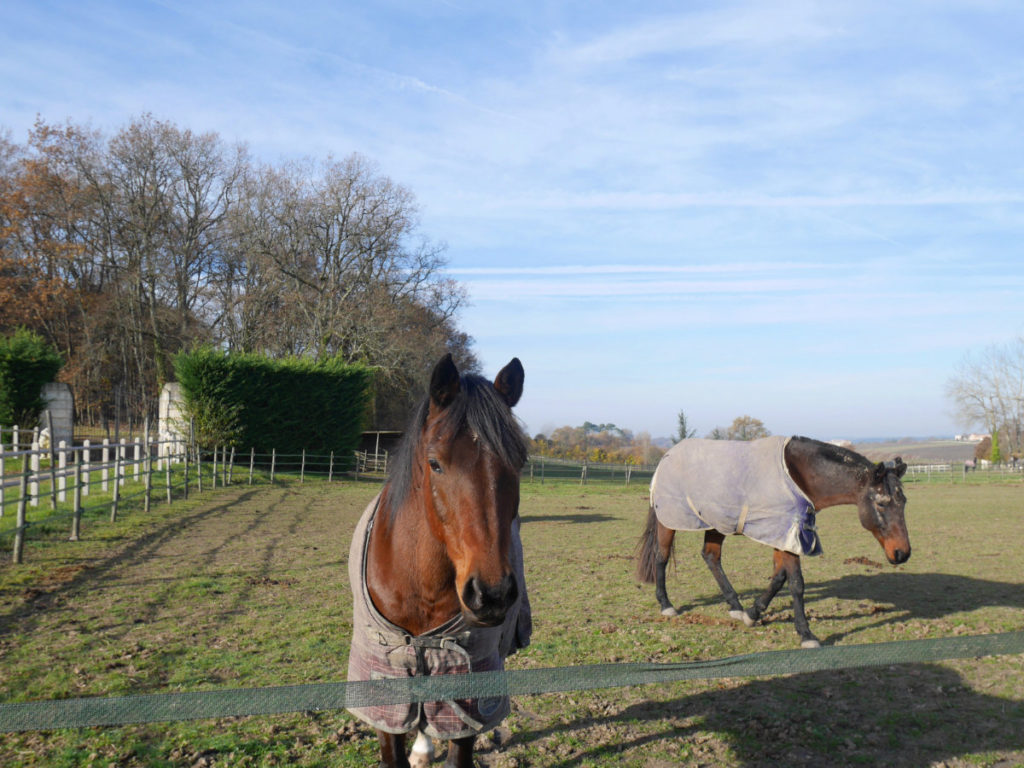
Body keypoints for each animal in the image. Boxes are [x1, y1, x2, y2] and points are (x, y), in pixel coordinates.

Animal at [636, 435, 910, 648]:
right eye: (881, 503)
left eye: (903, 501)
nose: (902, 553)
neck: (798, 473)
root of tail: (667, 457)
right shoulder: (789, 533)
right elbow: (796, 583)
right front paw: (806, 634)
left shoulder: (786, 535)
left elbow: (779, 577)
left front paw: (752, 613)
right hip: (669, 521)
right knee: (661, 557)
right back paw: (666, 605)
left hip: (717, 523)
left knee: (711, 557)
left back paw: (735, 605)